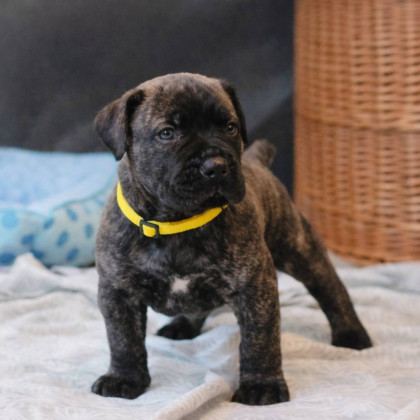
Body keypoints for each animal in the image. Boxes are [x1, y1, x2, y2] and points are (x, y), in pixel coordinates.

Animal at [91, 73, 372, 405]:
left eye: (230, 127)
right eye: (167, 133)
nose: (216, 165)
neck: (178, 223)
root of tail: (256, 161)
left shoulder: (255, 287)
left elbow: (259, 339)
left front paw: (262, 386)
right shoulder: (118, 293)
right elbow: (123, 339)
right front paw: (125, 378)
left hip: (299, 248)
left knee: (331, 289)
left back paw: (351, 335)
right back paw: (182, 325)